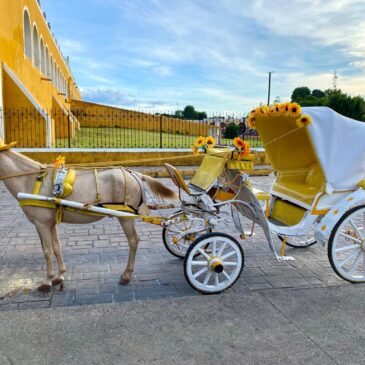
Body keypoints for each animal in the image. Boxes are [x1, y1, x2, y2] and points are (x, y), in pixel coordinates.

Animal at [0, 141, 175, 292]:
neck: (30, 179)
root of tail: (136, 175)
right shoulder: (50, 223)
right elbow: (56, 248)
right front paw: (59, 275)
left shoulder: (41, 224)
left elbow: (46, 251)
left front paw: (47, 281)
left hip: (125, 217)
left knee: (133, 241)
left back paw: (126, 274)